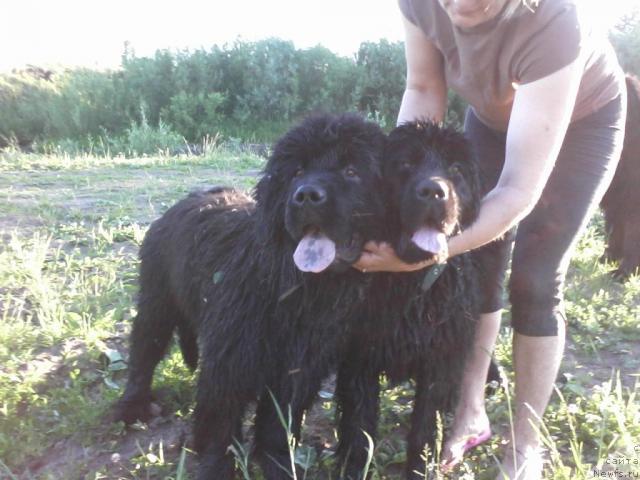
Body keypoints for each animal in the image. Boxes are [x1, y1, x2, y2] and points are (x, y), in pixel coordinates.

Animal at [112, 114, 384, 478]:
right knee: (144, 352)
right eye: (296, 172)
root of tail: (182, 201)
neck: (292, 286)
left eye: (352, 170)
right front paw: (216, 467)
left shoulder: (295, 369)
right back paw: (132, 407)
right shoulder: (229, 361)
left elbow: (276, 425)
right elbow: (220, 424)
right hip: (157, 300)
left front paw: (278, 465)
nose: (306, 196)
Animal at [338, 123, 482, 480]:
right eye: (405, 164)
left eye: (456, 169)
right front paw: (354, 468)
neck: (410, 285)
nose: (433, 191)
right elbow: (358, 427)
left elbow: (425, 426)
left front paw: (421, 468)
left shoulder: (439, 362)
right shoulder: (359, 358)